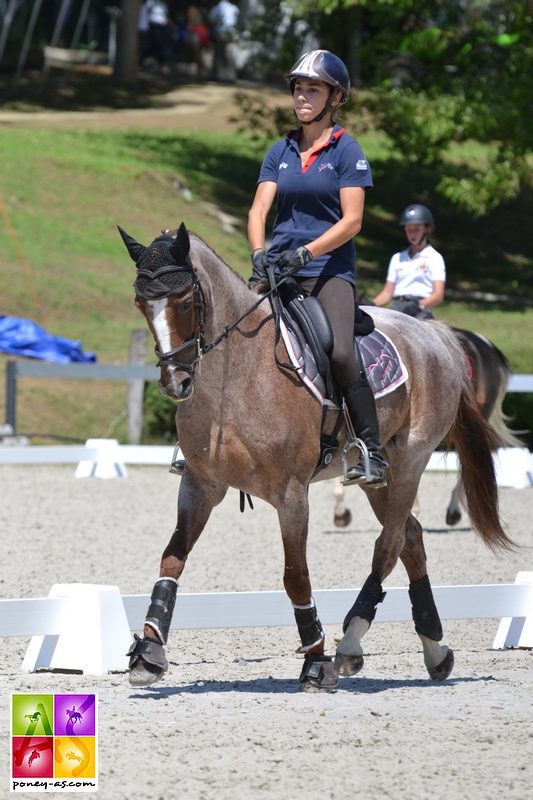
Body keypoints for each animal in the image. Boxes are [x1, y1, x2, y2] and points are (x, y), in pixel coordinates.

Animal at [119, 225, 512, 692]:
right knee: (411, 540)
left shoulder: (291, 495)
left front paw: (316, 660)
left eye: (183, 300)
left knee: (389, 545)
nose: (174, 382)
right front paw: (149, 651)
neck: (235, 377)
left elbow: (295, 575)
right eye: (141, 303)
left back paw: (350, 644)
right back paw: (435, 650)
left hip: (410, 460)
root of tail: (438, 336)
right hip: (379, 478)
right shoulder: (199, 485)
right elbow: (172, 558)